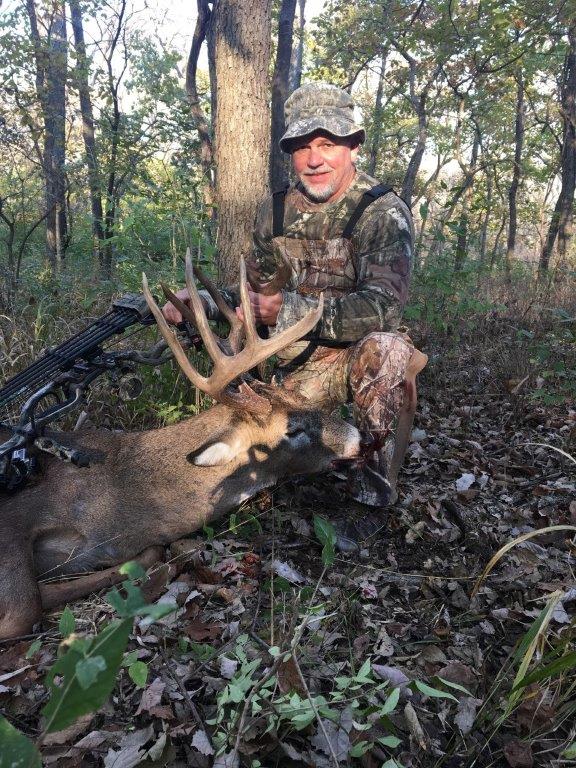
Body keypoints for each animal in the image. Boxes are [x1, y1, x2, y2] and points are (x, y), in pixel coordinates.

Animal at [0, 255, 426, 640]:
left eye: (308, 401)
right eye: (294, 428)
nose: (365, 439)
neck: (121, 495)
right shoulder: (15, 520)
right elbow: (26, 608)